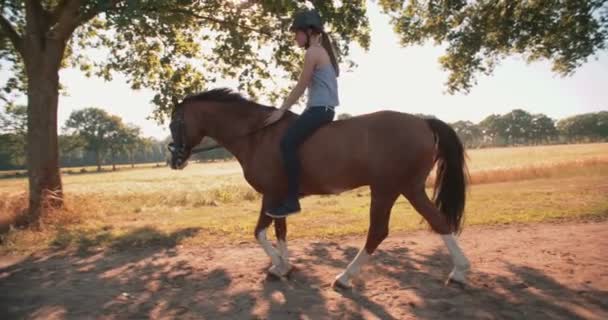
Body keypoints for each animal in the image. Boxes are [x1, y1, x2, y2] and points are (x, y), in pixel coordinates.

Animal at [166, 87, 470, 288]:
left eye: (174, 122)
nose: (174, 159)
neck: (257, 135)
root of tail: (422, 121)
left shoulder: (272, 194)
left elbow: (260, 233)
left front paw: (281, 266)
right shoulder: (279, 199)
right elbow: (279, 232)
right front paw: (284, 267)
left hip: (386, 189)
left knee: (378, 232)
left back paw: (345, 278)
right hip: (409, 188)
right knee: (438, 221)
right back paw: (459, 271)